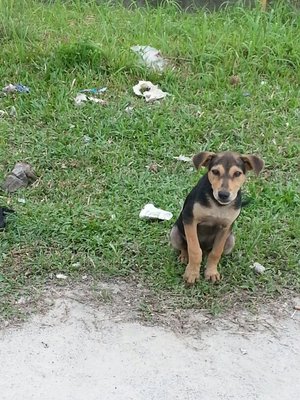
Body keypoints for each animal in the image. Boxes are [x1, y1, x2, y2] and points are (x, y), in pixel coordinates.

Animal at [170, 150, 264, 284]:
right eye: (215, 171)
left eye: (237, 173)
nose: (223, 194)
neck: (218, 205)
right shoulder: (190, 219)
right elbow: (194, 249)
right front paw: (192, 273)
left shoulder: (226, 227)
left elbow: (216, 252)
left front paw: (211, 272)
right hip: (174, 232)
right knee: (185, 247)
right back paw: (184, 256)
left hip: (231, 240)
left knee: (209, 252)